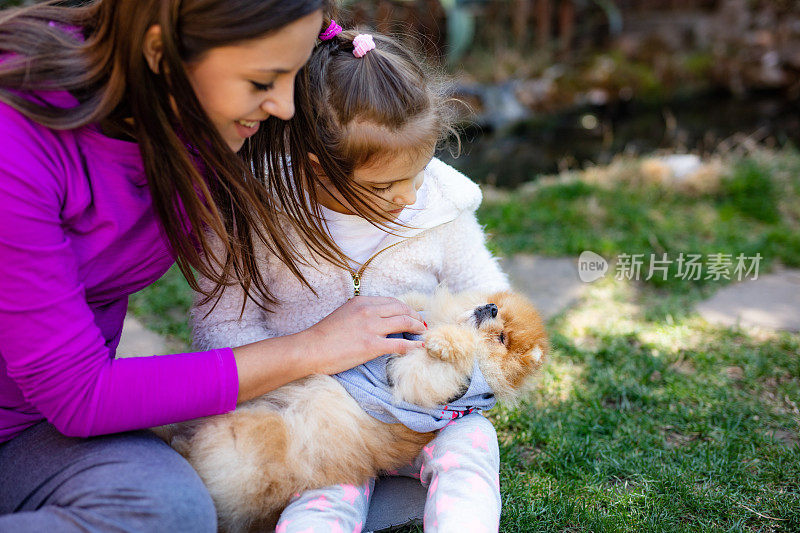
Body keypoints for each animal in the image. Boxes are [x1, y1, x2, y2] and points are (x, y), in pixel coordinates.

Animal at [166, 288, 548, 528]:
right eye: (494, 305)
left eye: (502, 339)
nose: (492, 308)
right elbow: (416, 304)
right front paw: (403, 303)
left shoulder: (425, 384)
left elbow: (438, 361)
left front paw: (447, 342)